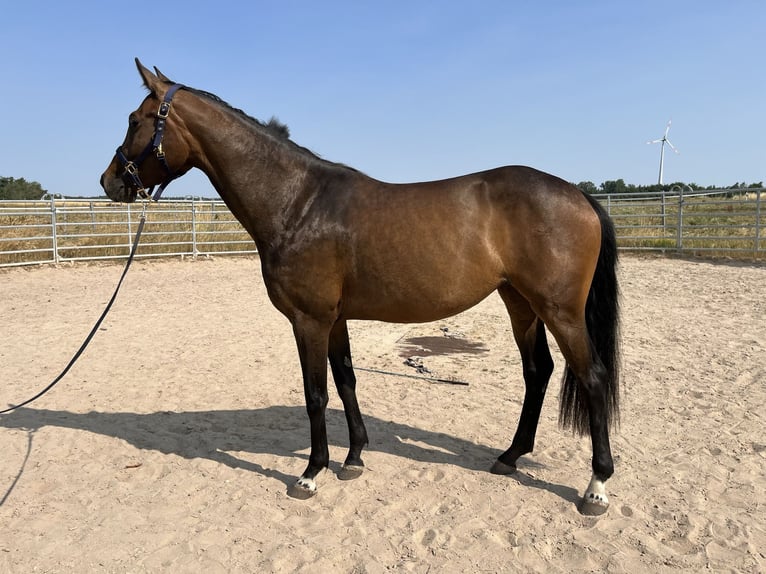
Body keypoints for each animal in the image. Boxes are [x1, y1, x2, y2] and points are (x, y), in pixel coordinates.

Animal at [100, 59, 624, 516]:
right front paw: (353, 458)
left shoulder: (309, 320)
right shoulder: (335, 319)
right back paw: (510, 457)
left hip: (559, 310)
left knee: (592, 377)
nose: (109, 182)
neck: (298, 202)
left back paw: (596, 487)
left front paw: (311, 473)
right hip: (520, 303)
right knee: (538, 372)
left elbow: (315, 393)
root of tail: (579, 196)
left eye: (134, 120)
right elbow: (347, 379)